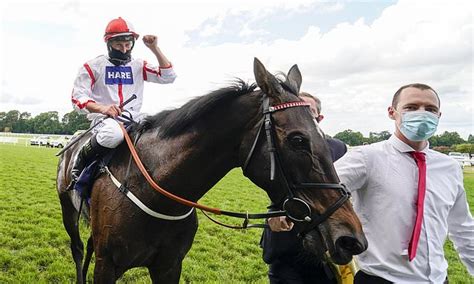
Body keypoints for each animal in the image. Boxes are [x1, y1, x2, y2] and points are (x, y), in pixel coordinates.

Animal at [56, 58, 366, 284]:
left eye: (324, 137)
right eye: (298, 140)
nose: (351, 239)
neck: (154, 191)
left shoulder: (169, 266)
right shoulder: (107, 265)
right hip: (68, 211)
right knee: (78, 248)